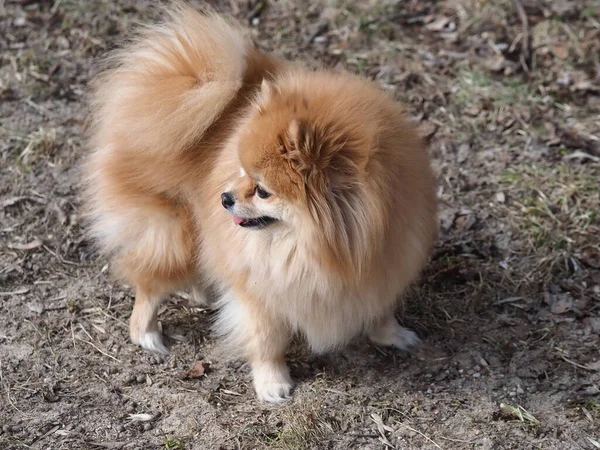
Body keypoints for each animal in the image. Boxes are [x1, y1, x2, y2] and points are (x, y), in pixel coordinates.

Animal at [84, 2, 436, 404]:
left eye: (263, 190)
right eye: (239, 171)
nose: (223, 197)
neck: (323, 249)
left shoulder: (381, 267)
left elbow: (379, 310)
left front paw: (393, 335)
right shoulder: (261, 292)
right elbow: (267, 340)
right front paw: (272, 383)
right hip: (174, 230)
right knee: (149, 280)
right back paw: (146, 332)